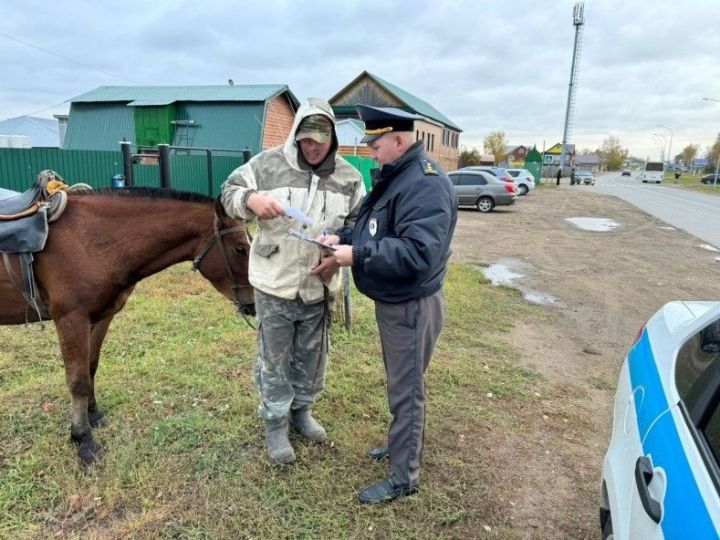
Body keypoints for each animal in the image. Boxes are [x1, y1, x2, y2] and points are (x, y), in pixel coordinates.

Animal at [0, 187, 253, 464]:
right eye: (240, 248)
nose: (254, 304)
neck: (90, 241)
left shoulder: (100, 317)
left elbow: (91, 367)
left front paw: (93, 415)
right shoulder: (71, 319)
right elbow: (78, 381)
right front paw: (83, 439)